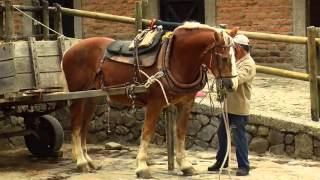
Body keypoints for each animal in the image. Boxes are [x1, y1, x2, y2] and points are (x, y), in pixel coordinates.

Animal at [62, 21, 238, 178]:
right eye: (223, 58)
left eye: (236, 55)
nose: (232, 85)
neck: (173, 59)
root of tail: (70, 50)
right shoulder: (155, 103)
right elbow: (147, 132)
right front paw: (142, 167)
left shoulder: (186, 103)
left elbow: (181, 133)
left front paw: (185, 165)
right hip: (77, 95)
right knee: (76, 127)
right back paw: (81, 162)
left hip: (91, 96)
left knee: (84, 127)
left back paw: (88, 160)